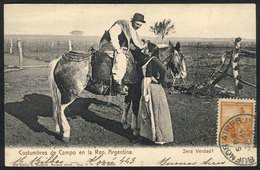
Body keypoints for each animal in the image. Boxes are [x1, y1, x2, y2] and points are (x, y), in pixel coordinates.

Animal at [48, 40, 183, 142]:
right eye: (181, 57)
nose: (182, 73)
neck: (143, 61)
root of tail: (59, 61)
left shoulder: (129, 93)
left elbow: (126, 106)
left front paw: (124, 124)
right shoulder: (136, 93)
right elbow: (135, 110)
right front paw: (135, 130)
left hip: (63, 92)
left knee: (57, 108)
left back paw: (60, 130)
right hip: (70, 93)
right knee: (60, 109)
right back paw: (66, 133)